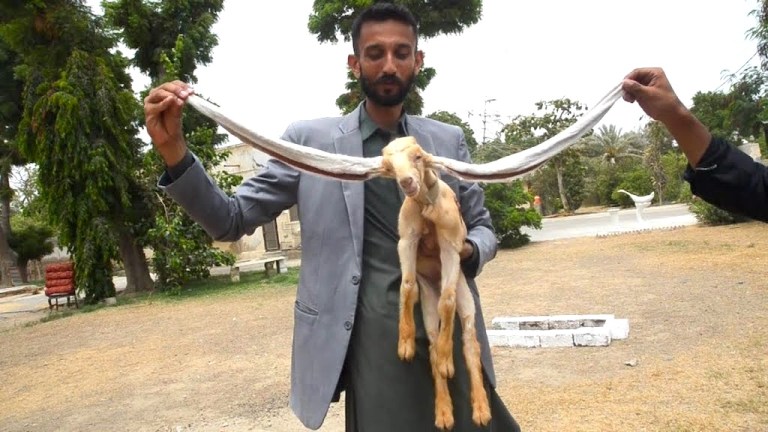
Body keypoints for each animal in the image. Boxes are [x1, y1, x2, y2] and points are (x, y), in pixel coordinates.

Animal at [380, 136, 492, 428]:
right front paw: (405, 344)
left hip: (466, 295)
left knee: (470, 344)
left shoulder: (451, 245)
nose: (407, 182)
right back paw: (443, 411)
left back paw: (480, 408)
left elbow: (448, 301)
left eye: (418, 156)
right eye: (388, 164)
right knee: (431, 339)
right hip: (428, 301)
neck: (424, 205)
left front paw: (445, 359)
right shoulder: (407, 239)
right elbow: (407, 286)